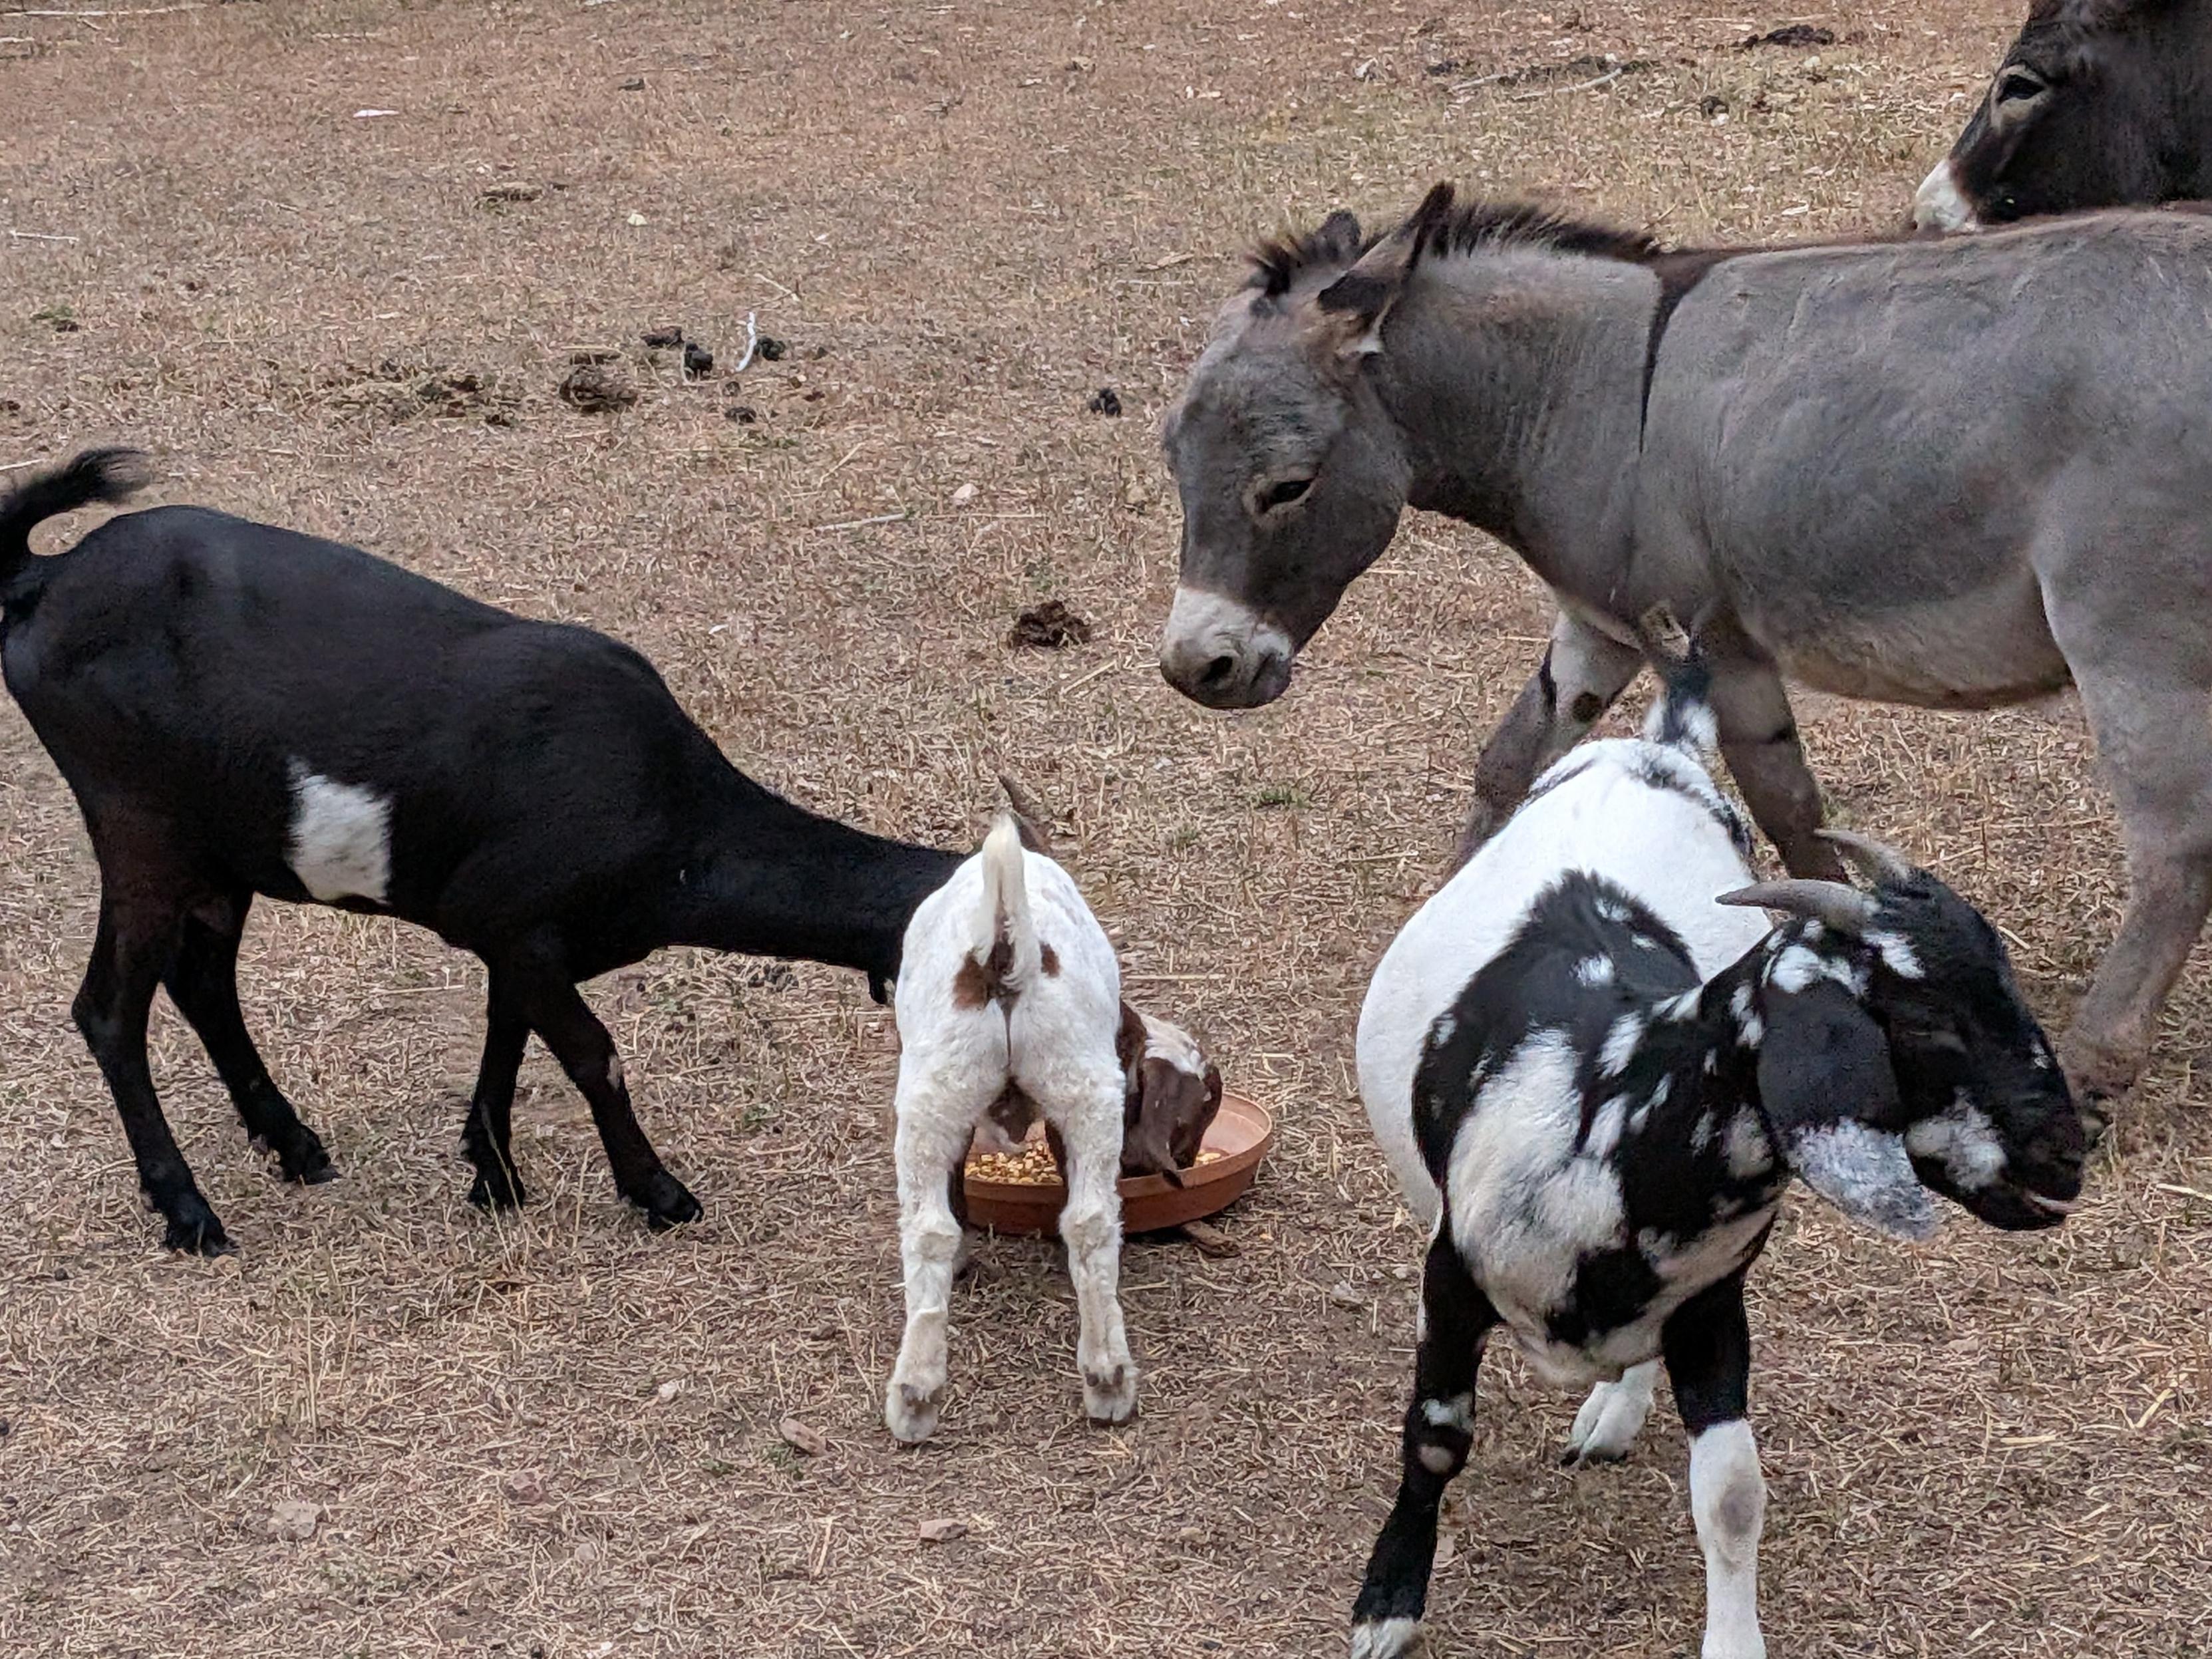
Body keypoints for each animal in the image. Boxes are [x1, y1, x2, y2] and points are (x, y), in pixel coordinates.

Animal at [0, 450, 963, 1255]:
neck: (670, 808)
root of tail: (46, 577)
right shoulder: (516, 923)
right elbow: (591, 1052)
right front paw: (657, 1191)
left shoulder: (516, 934)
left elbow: (509, 1029)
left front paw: (492, 1171)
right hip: (140, 829)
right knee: (109, 1010)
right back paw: (190, 1210)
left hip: (218, 851)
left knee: (202, 982)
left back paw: (295, 1144)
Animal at [885, 814, 1219, 1443]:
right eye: (1195, 1119)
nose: (1185, 1166)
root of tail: (1006, 951)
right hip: (1036, 1090)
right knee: (1067, 1223)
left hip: (963, 1093)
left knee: (954, 1228)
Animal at [1348, 670, 2085, 1659]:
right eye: (1928, 1022)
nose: (2068, 1154)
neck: (1609, 1115)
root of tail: (1658, 746)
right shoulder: (1451, 1278)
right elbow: (1433, 1438)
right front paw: (1386, 1605)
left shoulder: (1709, 1304)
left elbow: (1733, 1494)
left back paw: (1613, 1412)